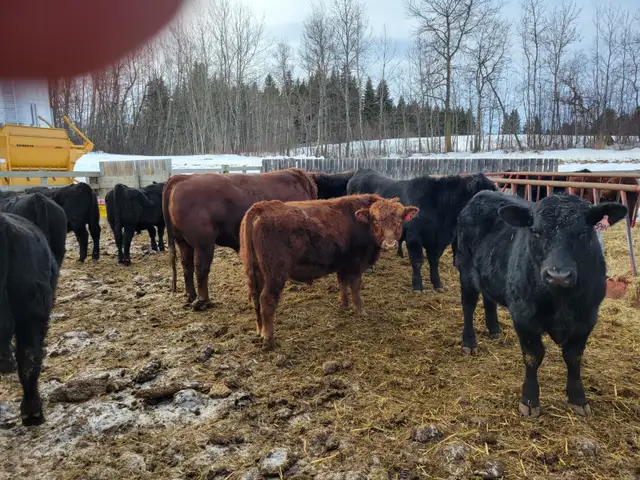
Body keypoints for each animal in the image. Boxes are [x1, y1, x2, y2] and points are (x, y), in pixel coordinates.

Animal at [163, 168, 319, 310]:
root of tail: (183, 178)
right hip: (203, 245)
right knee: (201, 269)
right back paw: (203, 301)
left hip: (183, 243)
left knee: (187, 267)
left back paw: (191, 297)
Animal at [240, 194, 419, 349]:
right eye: (375, 220)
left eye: (400, 220)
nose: (390, 244)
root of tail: (263, 206)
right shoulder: (356, 263)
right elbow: (355, 286)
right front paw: (360, 310)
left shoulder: (342, 263)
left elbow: (342, 283)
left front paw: (344, 305)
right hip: (275, 274)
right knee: (267, 299)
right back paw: (269, 339)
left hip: (257, 273)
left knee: (256, 298)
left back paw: (260, 331)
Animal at [346, 168, 496, 292]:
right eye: (482, 195)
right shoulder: (414, 237)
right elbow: (418, 261)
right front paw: (417, 286)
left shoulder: (439, 241)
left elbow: (434, 261)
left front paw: (438, 284)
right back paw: (367, 267)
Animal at [454, 190, 627, 418]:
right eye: (536, 232)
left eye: (583, 232)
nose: (558, 275)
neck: (561, 300)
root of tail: (483, 193)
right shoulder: (523, 316)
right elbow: (533, 356)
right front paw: (529, 400)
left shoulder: (587, 318)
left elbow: (574, 357)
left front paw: (578, 398)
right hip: (465, 271)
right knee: (468, 306)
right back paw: (469, 342)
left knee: (488, 298)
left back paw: (494, 329)